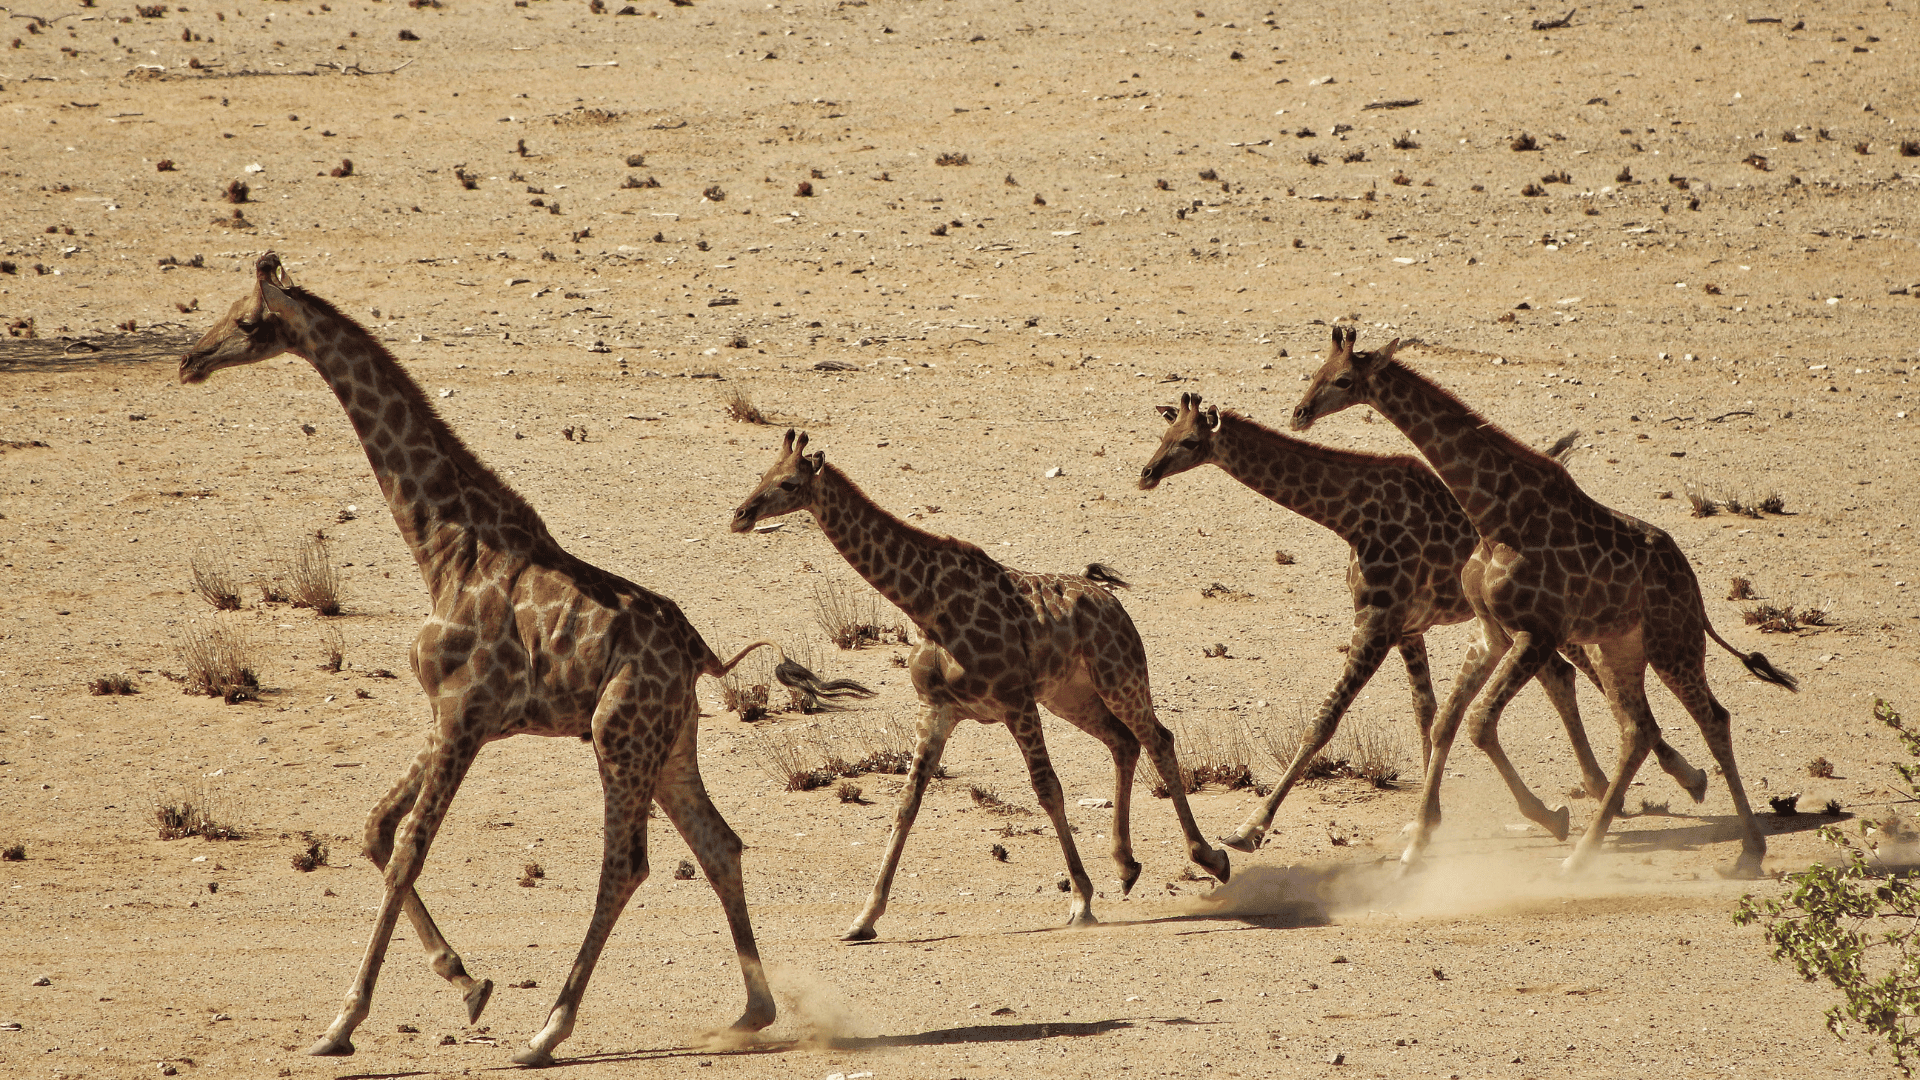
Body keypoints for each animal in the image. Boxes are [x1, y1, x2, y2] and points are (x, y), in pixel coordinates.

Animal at [179, 254, 856, 1065]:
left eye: (248, 322)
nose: (189, 360)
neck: (445, 545)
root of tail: (701, 655)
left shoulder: (464, 713)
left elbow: (407, 849)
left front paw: (344, 1023)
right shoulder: (446, 713)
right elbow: (375, 828)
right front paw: (465, 981)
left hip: (617, 735)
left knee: (625, 865)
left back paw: (548, 1031)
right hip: (669, 742)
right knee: (719, 844)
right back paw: (751, 1012)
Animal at [730, 430, 1230, 940]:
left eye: (789, 483)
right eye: (763, 474)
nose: (741, 515)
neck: (928, 606)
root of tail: (1111, 600)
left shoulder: (1015, 701)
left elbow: (1048, 789)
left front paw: (1081, 900)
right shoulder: (937, 710)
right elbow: (906, 803)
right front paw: (863, 918)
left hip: (1119, 676)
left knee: (1158, 739)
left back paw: (1211, 857)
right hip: (1070, 696)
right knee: (1124, 743)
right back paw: (1126, 866)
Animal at [1138, 393, 1708, 851]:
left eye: (1189, 441)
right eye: (1162, 434)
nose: (1146, 473)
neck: (1349, 516)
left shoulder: (1378, 621)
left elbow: (1324, 722)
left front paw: (1250, 828)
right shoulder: (1407, 628)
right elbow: (1427, 713)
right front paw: (1428, 821)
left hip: (1560, 620)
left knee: (1589, 677)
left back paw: (1684, 777)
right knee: (1566, 678)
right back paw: (1607, 786)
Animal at [1291, 327, 1796, 876]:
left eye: (1343, 379)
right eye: (1315, 370)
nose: (1299, 412)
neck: (1495, 514)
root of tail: (1695, 589)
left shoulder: (1538, 631)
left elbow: (1478, 721)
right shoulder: (1491, 630)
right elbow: (1448, 720)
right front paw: (1417, 844)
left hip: (1672, 644)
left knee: (1713, 719)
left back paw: (1748, 850)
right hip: (1620, 649)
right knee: (1637, 731)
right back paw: (1583, 855)